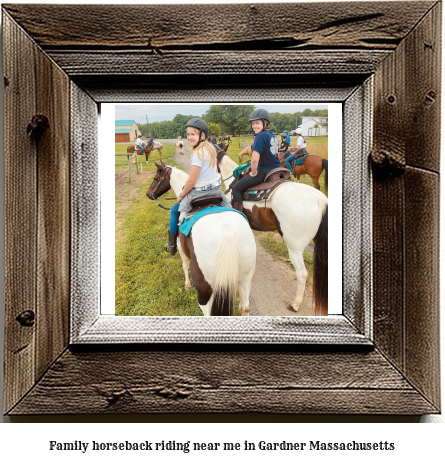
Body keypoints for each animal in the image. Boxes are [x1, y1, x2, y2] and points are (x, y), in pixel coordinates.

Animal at [147, 160, 256, 316]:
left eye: (156, 178)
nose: (148, 194)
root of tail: (228, 236)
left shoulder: (180, 246)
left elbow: (184, 265)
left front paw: (187, 285)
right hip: (245, 279)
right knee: (245, 307)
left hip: (205, 288)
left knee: (207, 310)